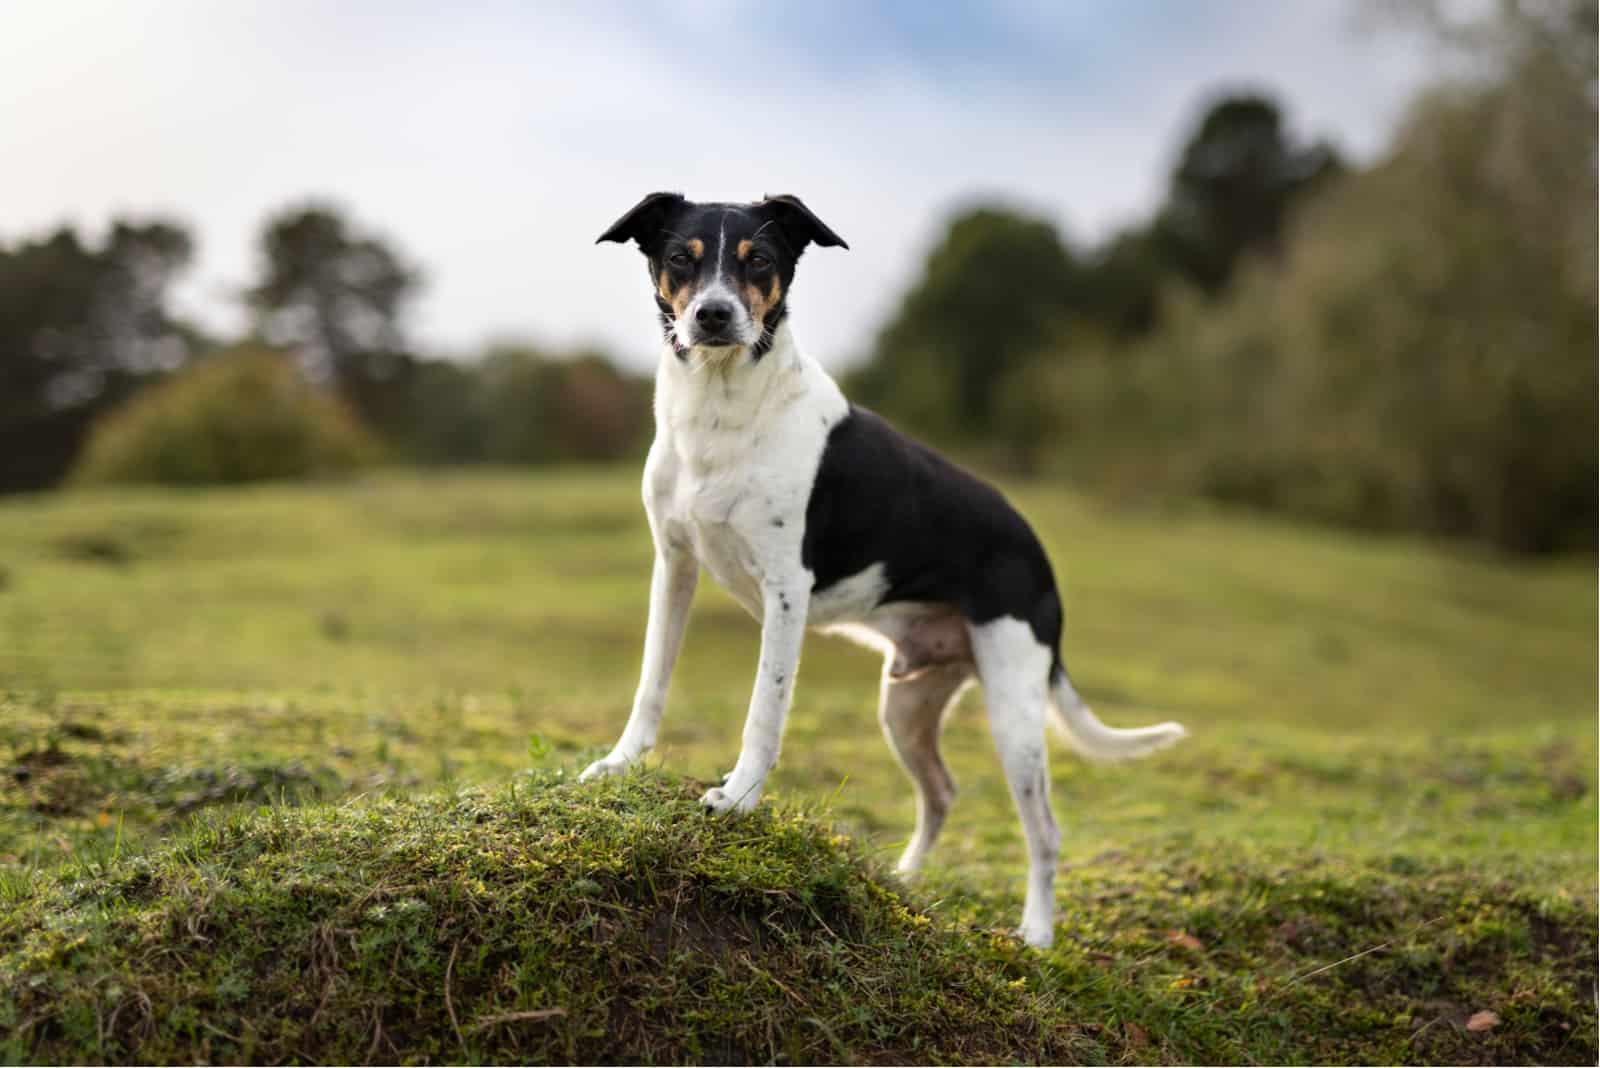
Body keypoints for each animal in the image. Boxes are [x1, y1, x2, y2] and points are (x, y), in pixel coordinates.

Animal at [588, 191, 1190, 940]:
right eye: (680, 259)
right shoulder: (674, 568)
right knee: (942, 792)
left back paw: (1036, 936)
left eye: (759, 260)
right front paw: (620, 765)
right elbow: (652, 683)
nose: (714, 315)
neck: (722, 411)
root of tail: (1038, 554)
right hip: (906, 705)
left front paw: (739, 797)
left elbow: (765, 710)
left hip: (1015, 710)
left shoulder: (786, 594)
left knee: (1044, 830)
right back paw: (904, 881)